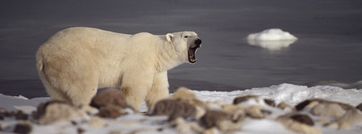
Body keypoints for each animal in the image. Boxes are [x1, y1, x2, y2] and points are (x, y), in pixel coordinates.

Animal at [35, 27, 202, 111]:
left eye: (196, 34)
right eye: (186, 36)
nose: (199, 40)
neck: (157, 51)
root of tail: (42, 51)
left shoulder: (157, 69)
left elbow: (157, 90)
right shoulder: (140, 60)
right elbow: (134, 87)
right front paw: (132, 108)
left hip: (50, 72)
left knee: (57, 93)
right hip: (73, 60)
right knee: (83, 86)